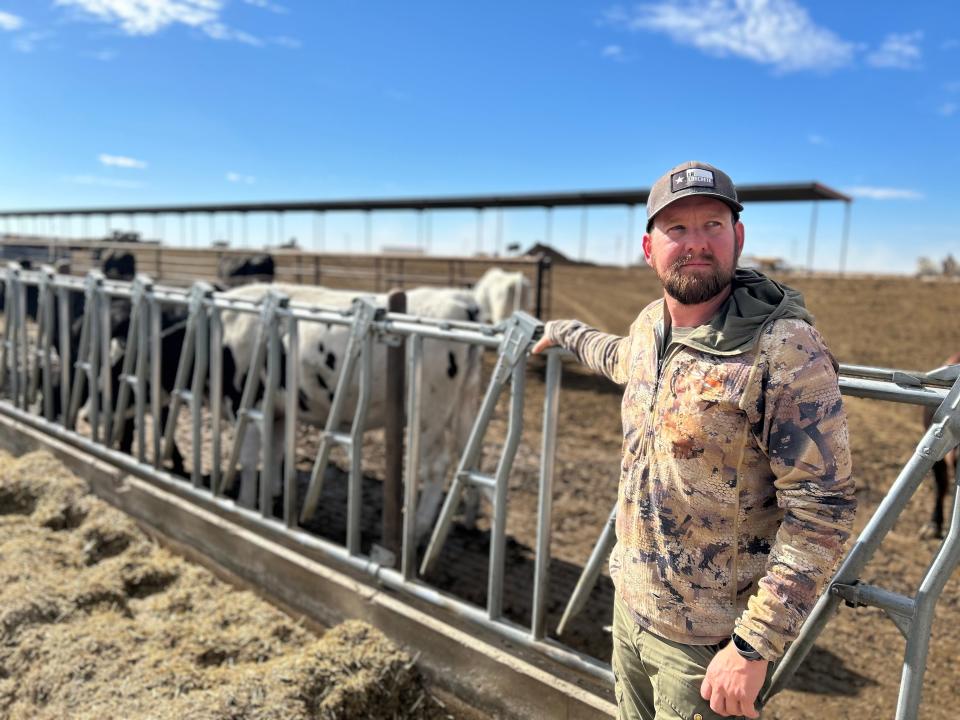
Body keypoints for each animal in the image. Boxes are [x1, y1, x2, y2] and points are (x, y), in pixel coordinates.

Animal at [220, 282, 484, 536]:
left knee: (437, 465)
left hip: (429, 412)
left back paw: (418, 530)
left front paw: (244, 504)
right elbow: (275, 450)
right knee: (470, 458)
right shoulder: (279, 409)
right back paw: (468, 521)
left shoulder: (244, 400)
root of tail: (461, 299)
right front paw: (273, 494)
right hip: (465, 403)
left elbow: (248, 456)